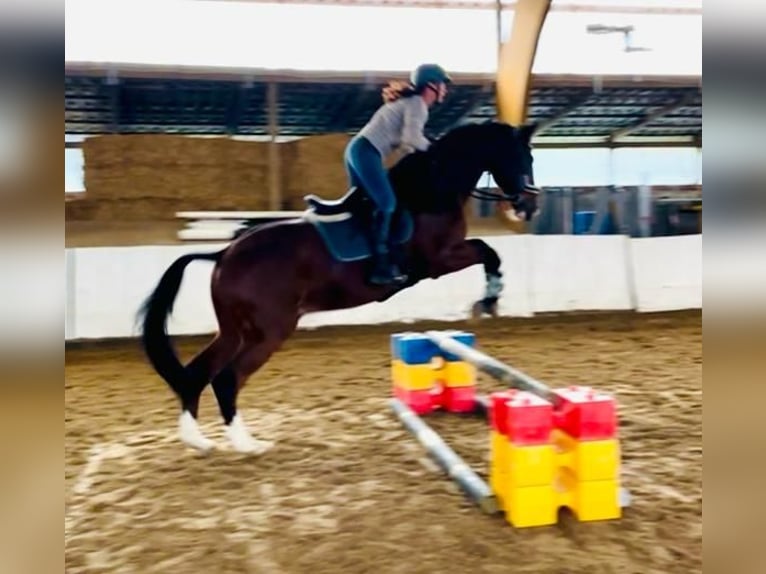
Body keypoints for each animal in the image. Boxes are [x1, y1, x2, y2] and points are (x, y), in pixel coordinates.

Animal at [137, 120, 540, 454]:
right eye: (523, 157)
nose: (529, 207)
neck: (431, 189)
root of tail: (224, 253)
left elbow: (488, 251)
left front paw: (489, 300)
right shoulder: (437, 261)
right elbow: (488, 251)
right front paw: (489, 299)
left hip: (235, 330)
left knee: (196, 372)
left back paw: (197, 439)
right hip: (269, 331)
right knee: (226, 378)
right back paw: (247, 444)